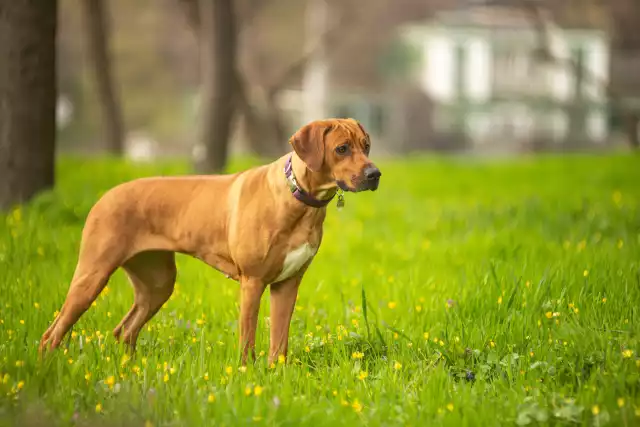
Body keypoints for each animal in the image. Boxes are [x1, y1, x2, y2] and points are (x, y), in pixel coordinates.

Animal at [38, 118, 380, 364]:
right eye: (341, 148)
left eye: (366, 145)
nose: (375, 174)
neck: (299, 196)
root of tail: (104, 196)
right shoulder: (253, 281)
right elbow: (247, 338)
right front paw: (247, 374)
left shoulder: (288, 283)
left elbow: (279, 343)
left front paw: (277, 376)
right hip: (92, 274)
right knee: (52, 333)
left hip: (157, 283)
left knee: (125, 331)